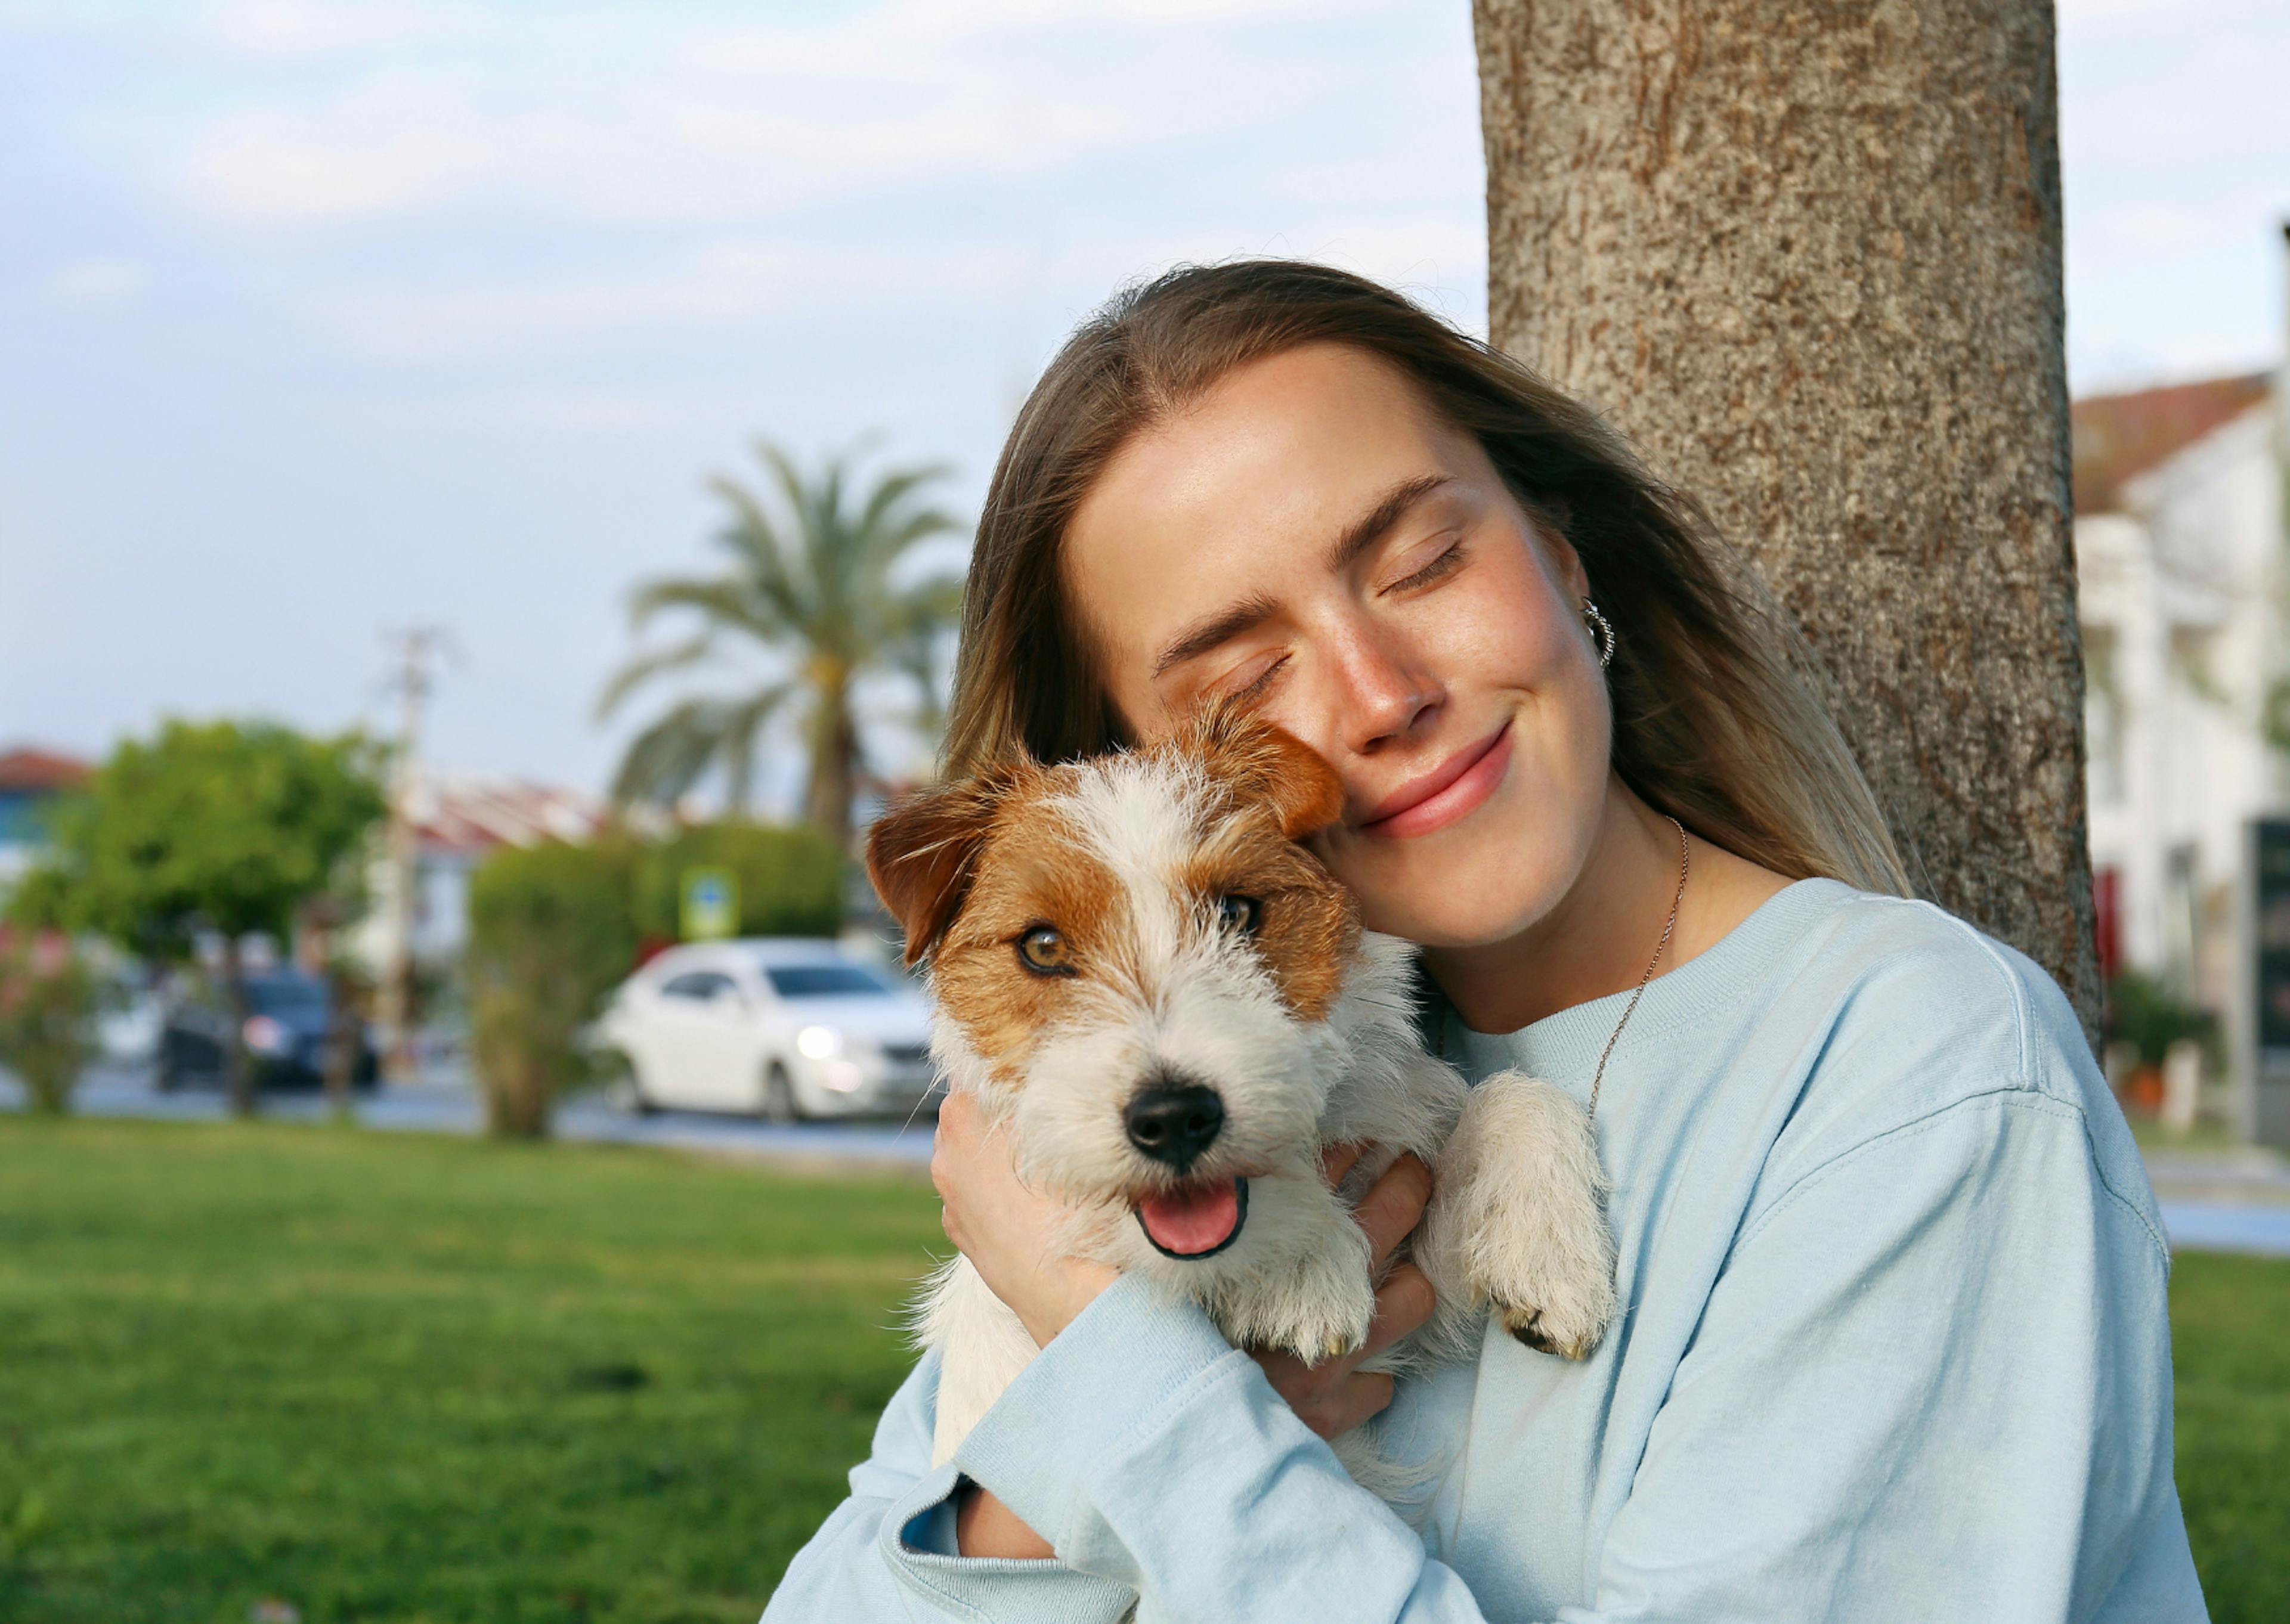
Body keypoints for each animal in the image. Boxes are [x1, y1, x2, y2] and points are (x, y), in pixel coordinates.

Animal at [865, 705, 1621, 1484]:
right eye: (1041, 946)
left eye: (1236, 911)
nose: (1173, 1118)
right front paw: (1300, 1261)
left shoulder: (1411, 1293)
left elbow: (1512, 1093)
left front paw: (1550, 1255)